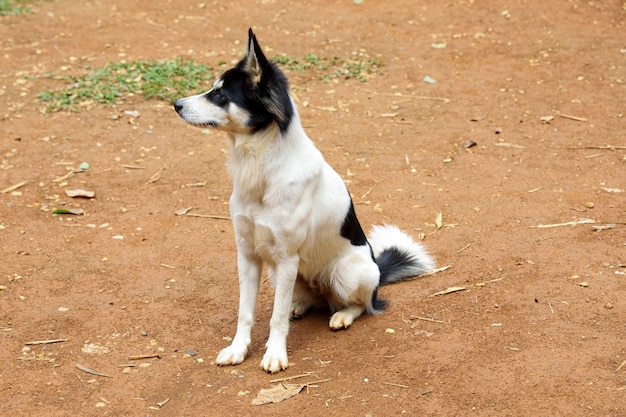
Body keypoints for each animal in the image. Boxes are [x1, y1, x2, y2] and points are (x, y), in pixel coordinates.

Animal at [173, 29, 432, 374]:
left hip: (347, 272)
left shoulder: (286, 258)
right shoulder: (248, 255)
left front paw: (274, 354)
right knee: (308, 301)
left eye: (220, 95)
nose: (175, 104)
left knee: (364, 305)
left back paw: (342, 315)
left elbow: (276, 318)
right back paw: (301, 304)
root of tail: (377, 267)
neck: (261, 167)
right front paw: (238, 350)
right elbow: (246, 312)